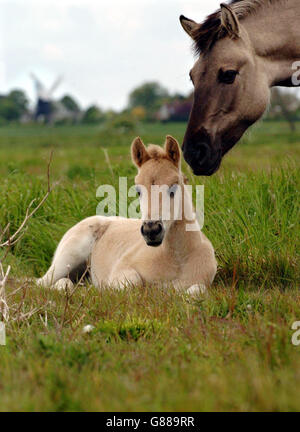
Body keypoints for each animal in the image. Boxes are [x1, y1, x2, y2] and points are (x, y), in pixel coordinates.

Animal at [37, 137, 217, 296]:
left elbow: (197, 291)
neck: (177, 260)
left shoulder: (201, 282)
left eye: (173, 187)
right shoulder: (121, 268)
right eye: (138, 190)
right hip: (68, 257)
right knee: (44, 283)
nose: (151, 230)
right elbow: (133, 282)